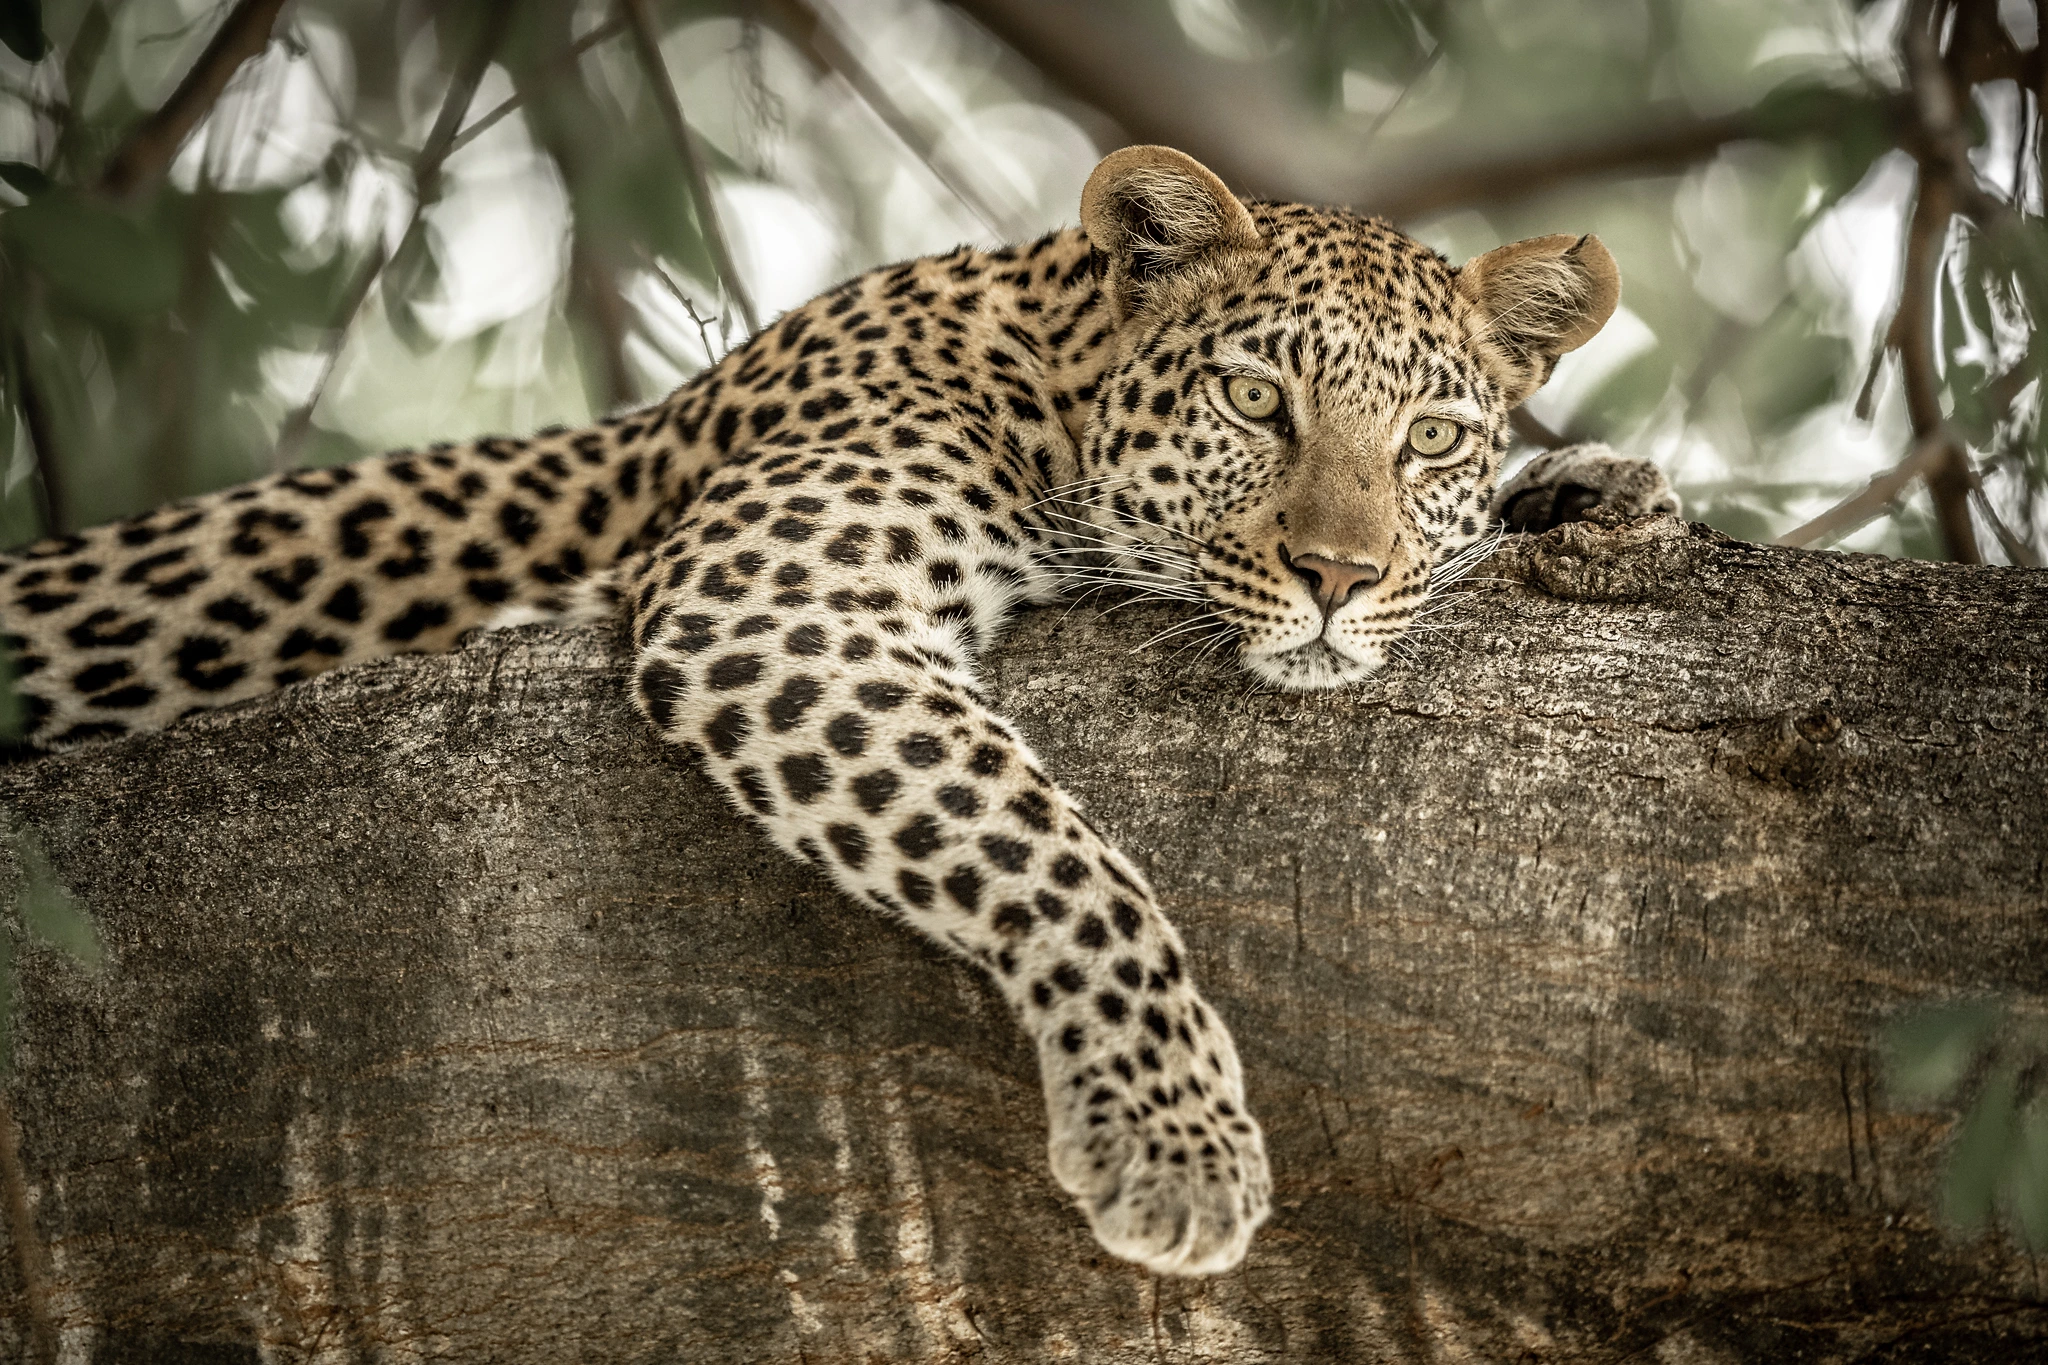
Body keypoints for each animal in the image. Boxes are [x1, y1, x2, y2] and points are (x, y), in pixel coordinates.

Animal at [0, 149, 1679, 1285]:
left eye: (1433, 439)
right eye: (1259, 402)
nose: (1339, 575)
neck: (1042, 372)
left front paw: (1594, 493)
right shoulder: (770, 602)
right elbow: (1058, 856)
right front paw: (1172, 1130)